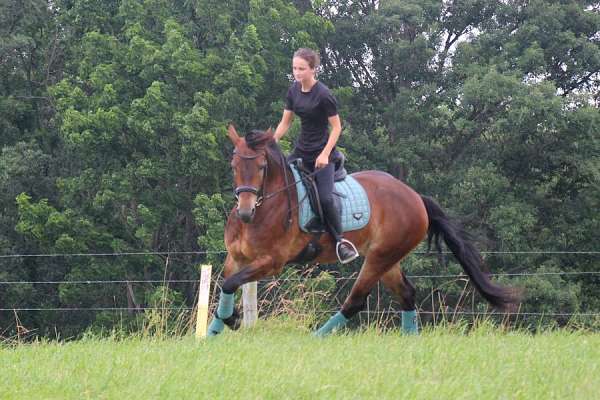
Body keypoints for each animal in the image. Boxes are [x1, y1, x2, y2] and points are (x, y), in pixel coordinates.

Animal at [209, 126, 524, 338]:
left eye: (262, 167)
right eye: (233, 166)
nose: (245, 211)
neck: (263, 210)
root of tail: (415, 197)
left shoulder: (271, 263)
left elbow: (230, 283)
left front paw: (231, 321)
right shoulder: (236, 257)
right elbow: (225, 283)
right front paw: (220, 325)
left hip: (379, 257)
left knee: (356, 301)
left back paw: (316, 337)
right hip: (388, 259)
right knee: (406, 294)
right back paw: (410, 338)